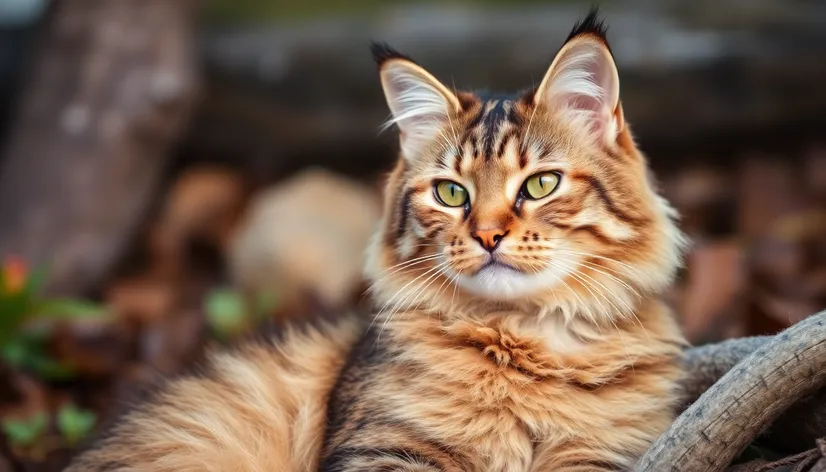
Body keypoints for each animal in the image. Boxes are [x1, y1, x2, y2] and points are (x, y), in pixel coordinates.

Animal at [67, 11, 684, 472]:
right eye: (451, 193)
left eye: (540, 184)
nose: (487, 235)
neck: (524, 341)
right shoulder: (386, 447)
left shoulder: (602, 453)